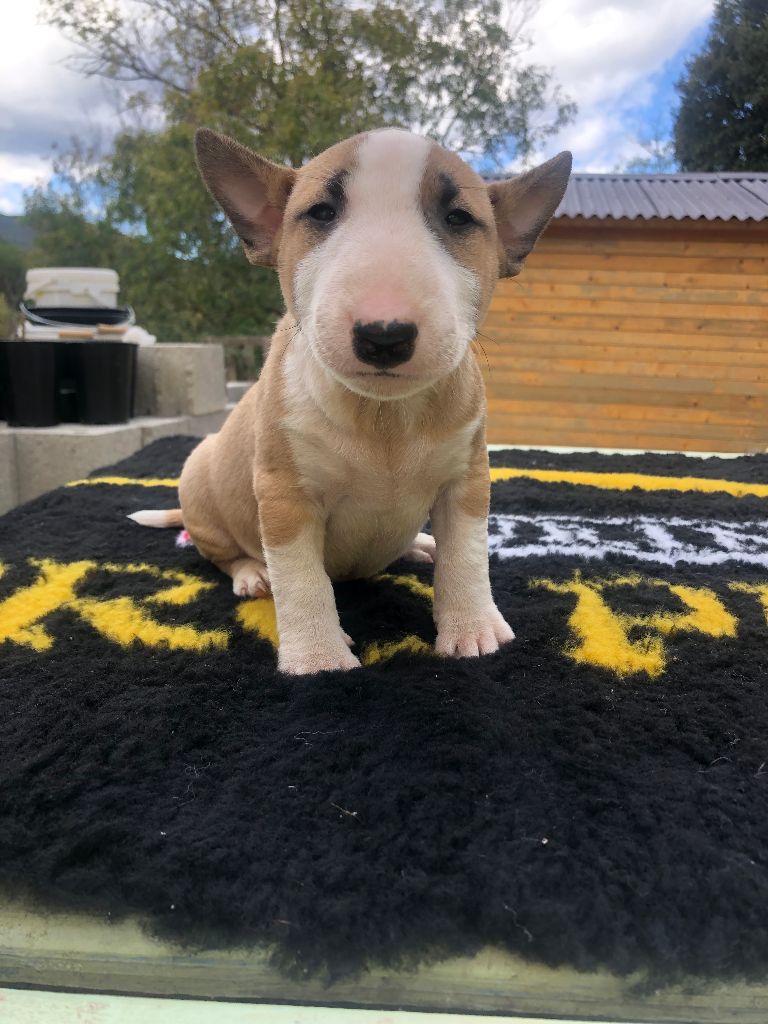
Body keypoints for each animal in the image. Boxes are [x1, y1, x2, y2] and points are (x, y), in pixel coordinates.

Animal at [130, 127, 571, 675]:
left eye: (458, 218)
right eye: (320, 212)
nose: (384, 335)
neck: (383, 418)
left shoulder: (466, 479)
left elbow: (467, 554)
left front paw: (473, 628)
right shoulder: (285, 496)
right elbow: (301, 580)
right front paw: (319, 657)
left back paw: (420, 545)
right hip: (201, 484)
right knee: (223, 554)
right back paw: (252, 573)